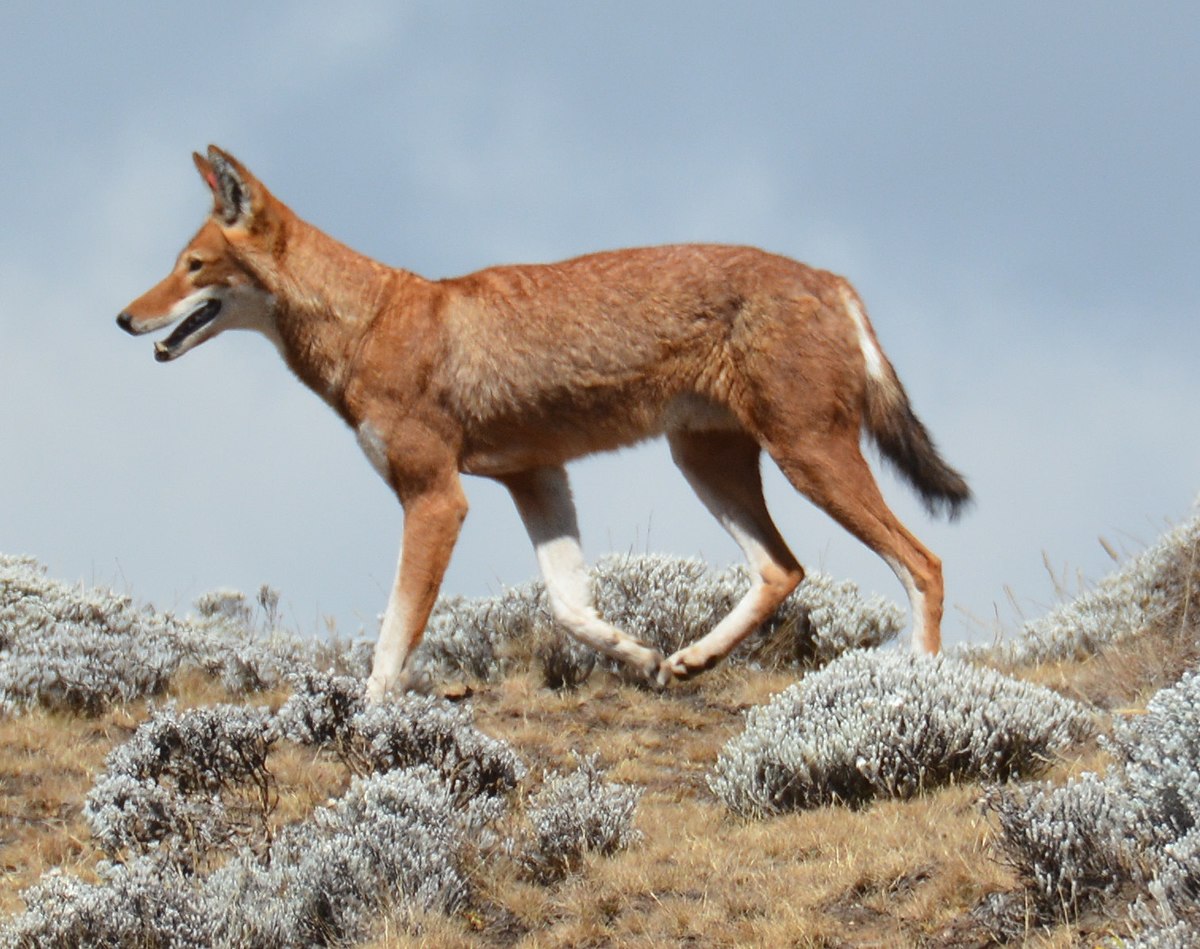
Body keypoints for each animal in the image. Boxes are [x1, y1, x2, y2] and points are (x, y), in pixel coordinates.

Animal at [117, 144, 969, 700]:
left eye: (192, 267)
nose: (123, 317)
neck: (373, 322)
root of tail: (830, 278)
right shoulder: (535, 477)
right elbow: (570, 606)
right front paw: (637, 654)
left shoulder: (437, 498)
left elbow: (393, 639)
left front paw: (372, 716)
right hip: (707, 465)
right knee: (783, 569)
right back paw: (692, 659)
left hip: (807, 460)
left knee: (923, 562)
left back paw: (924, 690)